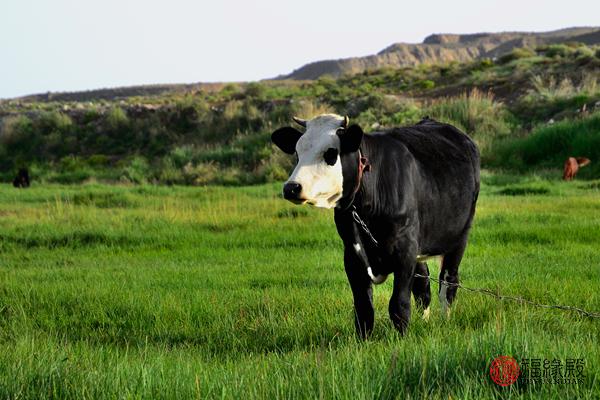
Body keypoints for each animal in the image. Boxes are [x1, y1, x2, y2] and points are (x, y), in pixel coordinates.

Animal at [270, 113, 478, 338]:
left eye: (330, 153)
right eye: (297, 153)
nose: (291, 187)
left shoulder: (405, 249)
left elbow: (399, 304)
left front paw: (401, 338)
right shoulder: (352, 254)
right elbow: (364, 307)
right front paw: (364, 340)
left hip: (459, 237)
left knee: (448, 282)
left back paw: (444, 320)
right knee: (423, 286)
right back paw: (425, 320)